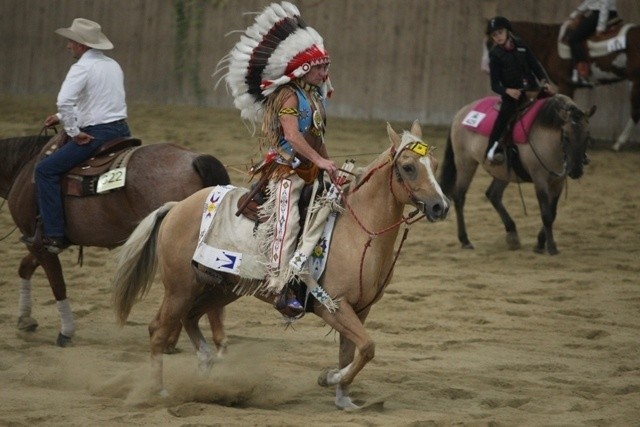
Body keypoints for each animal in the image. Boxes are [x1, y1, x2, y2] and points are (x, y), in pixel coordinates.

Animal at [0, 134, 230, 348]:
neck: (22, 168)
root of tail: (195, 159)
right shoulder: (40, 243)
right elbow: (25, 268)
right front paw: (25, 319)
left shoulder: (40, 243)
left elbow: (58, 285)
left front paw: (66, 332)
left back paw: (168, 340)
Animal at [111, 122, 450, 410]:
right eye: (408, 167)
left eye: (434, 165)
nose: (440, 207)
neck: (357, 231)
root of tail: (175, 207)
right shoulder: (332, 306)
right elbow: (367, 347)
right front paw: (327, 378)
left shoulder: (360, 309)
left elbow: (352, 352)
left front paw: (343, 399)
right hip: (180, 288)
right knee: (158, 329)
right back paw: (159, 392)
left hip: (218, 288)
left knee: (190, 319)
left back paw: (207, 375)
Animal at [440, 94, 596, 254]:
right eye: (565, 136)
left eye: (587, 136)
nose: (576, 170)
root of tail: (462, 112)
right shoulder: (539, 179)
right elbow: (546, 214)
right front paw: (551, 247)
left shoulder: (559, 181)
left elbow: (552, 213)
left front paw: (540, 242)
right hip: (465, 162)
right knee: (459, 197)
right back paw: (465, 240)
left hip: (503, 172)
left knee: (493, 194)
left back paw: (512, 233)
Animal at [480, 21, 640, 153]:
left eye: (489, 43)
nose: (485, 68)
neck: (550, 44)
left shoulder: (565, 83)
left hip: (635, 81)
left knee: (634, 112)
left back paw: (618, 143)